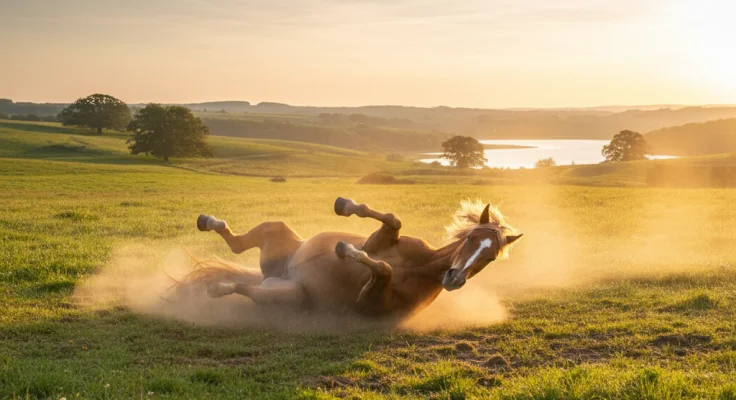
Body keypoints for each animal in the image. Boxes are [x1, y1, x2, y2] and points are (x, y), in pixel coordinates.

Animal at [187, 198, 522, 319]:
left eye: (491, 257)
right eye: (469, 238)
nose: (453, 279)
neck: (421, 266)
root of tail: (280, 274)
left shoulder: (368, 302)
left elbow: (383, 268)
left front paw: (345, 250)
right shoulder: (379, 240)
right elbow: (392, 220)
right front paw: (344, 206)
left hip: (291, 295)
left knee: (244, 285)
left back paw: (218, 288)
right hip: (276, 232)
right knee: (237, 246)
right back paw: (207, 221)